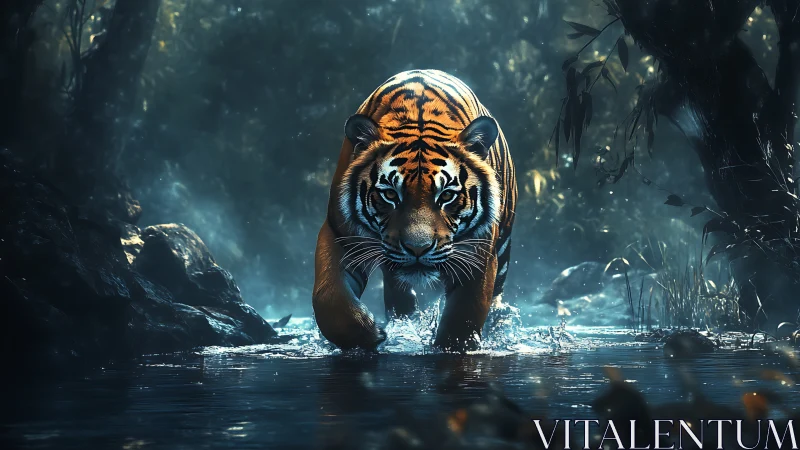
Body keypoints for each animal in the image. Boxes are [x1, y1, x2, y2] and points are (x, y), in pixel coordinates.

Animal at [312, 69, 517, 352]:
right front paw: (371, 335)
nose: (417, 249)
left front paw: (451, 347)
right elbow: (329, 299)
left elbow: (463, 317)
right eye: (390, 194)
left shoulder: (477, 253)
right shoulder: (340, 233)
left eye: (447, 195)